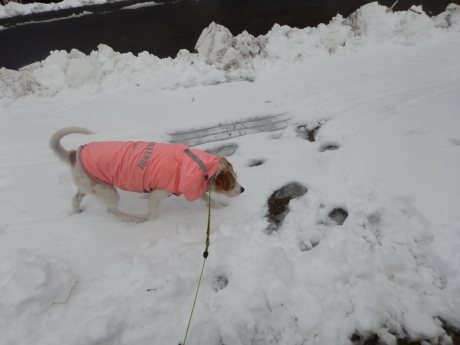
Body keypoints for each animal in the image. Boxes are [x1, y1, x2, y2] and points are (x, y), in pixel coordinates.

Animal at [50, 127, 244, 222]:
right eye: (231, 185)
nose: (242, 190)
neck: (198, 165)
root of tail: (73, 155)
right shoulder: (158, 194)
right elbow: (153, 213)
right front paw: (150, 220)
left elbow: (208, 199)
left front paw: (221, 208)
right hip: (109, 192)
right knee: (111, 209)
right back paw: (130, 218)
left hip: (88, 185)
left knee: (75, 198)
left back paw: (76, 212)